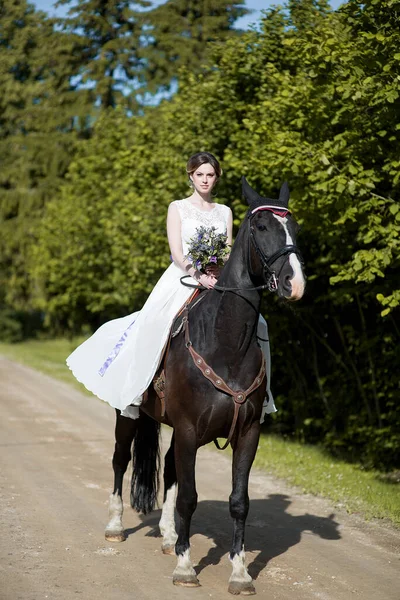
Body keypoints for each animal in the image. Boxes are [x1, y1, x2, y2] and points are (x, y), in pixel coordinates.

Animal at [104, 176, 306, 592]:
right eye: (261, 226)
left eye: (294, 227)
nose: (295, 284)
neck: (225, 344)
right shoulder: (187, 429)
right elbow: (190, 498)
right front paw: (185, 567)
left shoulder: (247, 433)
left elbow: (238, 501)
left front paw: (240, 572)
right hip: (128, 415)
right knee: (119, 461)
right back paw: (115, 526)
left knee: (169, 471)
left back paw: (168, 536)